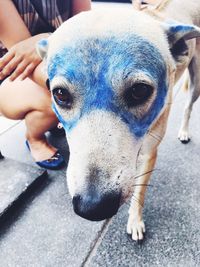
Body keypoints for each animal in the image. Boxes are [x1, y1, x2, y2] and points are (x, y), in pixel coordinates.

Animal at [36, 0, 200, 242]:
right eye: (60, 94)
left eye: (140, 90)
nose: (92, 207)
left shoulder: (149, 152)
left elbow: (140, 190)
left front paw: (135, 221)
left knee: (188, 107)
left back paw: (184, 131)